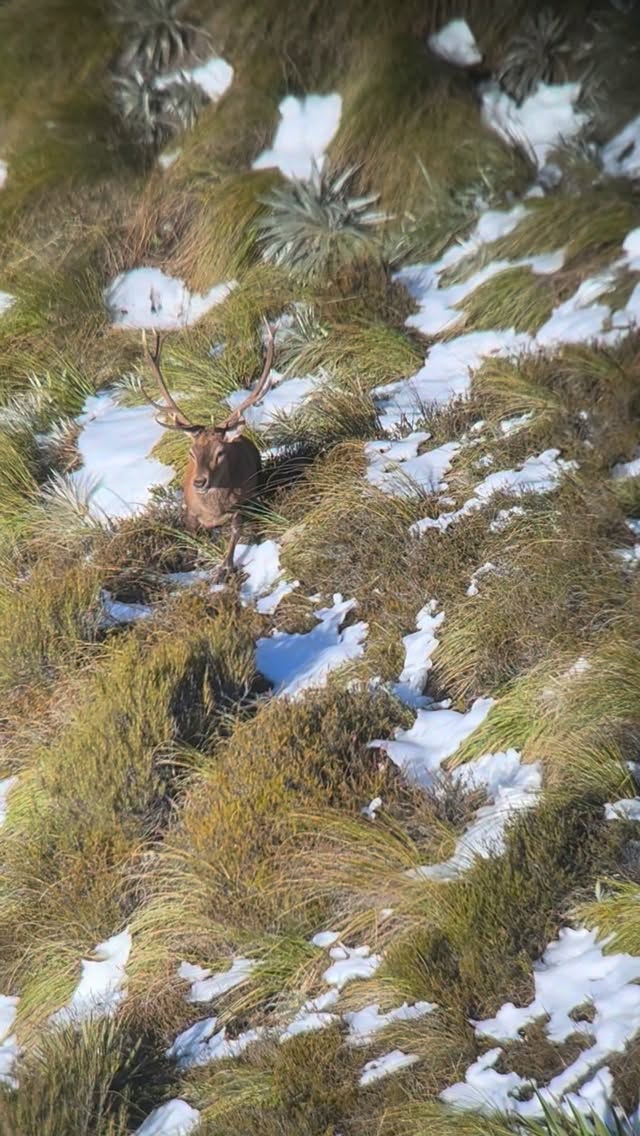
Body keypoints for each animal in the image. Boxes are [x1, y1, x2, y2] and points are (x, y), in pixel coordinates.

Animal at [140, 322, 275, 582]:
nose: (200, 482)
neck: (213, 511)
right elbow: (192, 541)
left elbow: (235, 530)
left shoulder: (242, 504)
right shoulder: (189, 513)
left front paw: (225, 567)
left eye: (220, 452)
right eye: (192, 453)